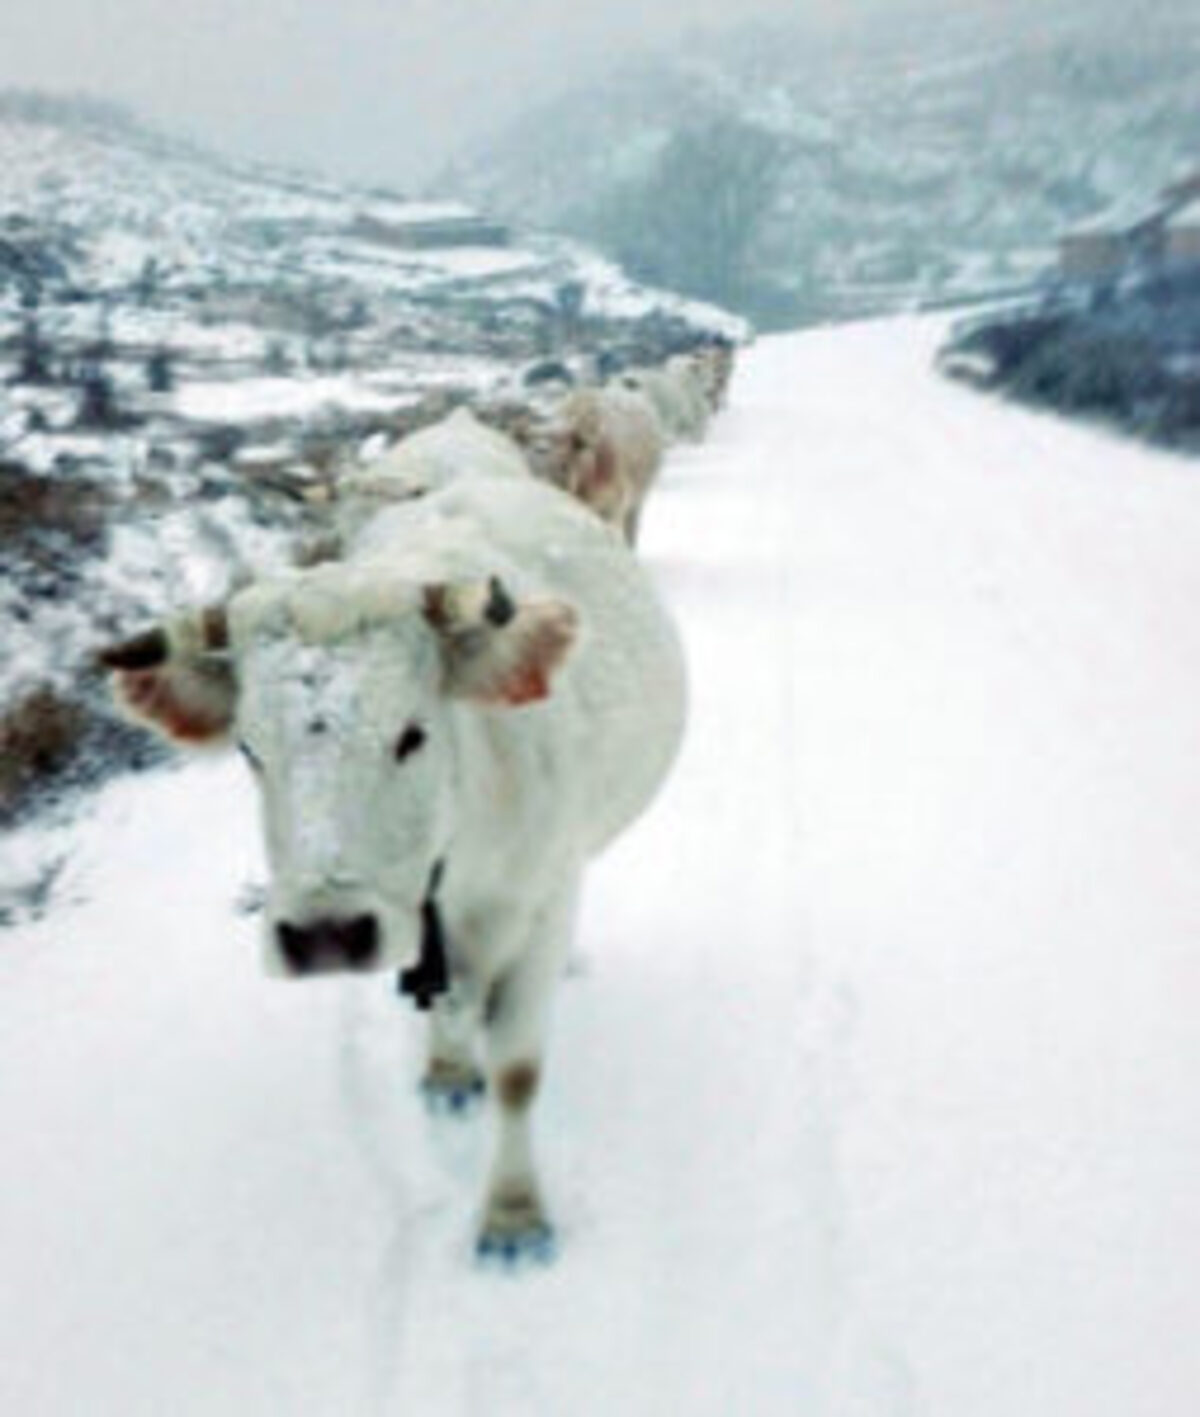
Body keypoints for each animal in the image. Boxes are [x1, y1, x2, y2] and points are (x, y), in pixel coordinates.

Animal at [98, 468, 687, 1265]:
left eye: (413, 733)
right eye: (250, 749)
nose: (324, 935)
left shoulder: (543, 901)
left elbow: (518, 1071)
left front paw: (513, 1216)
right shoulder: (419, 925)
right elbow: (445, 1008)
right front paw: (449, 1069)